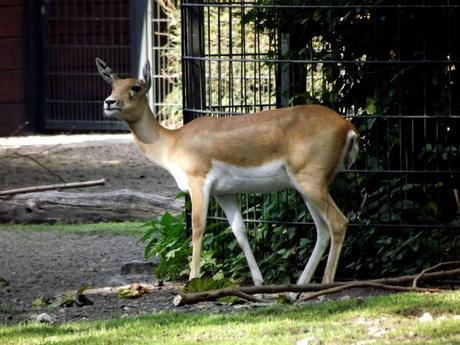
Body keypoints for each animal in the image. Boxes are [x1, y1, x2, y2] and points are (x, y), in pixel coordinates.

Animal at [94, 57, 360, 292]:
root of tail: (348, 127)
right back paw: (298, 288)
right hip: (307, 187)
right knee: (322, 231)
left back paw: (322, 285)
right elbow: (239, 232)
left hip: (310, 183)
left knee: (339, 223)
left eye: (135, 87)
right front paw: (259, 282)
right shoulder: (224, 193)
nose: (109, 102)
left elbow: (198, 227)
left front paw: (193, 280)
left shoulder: (198, 183)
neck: (172, 142)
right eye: (113, 85)